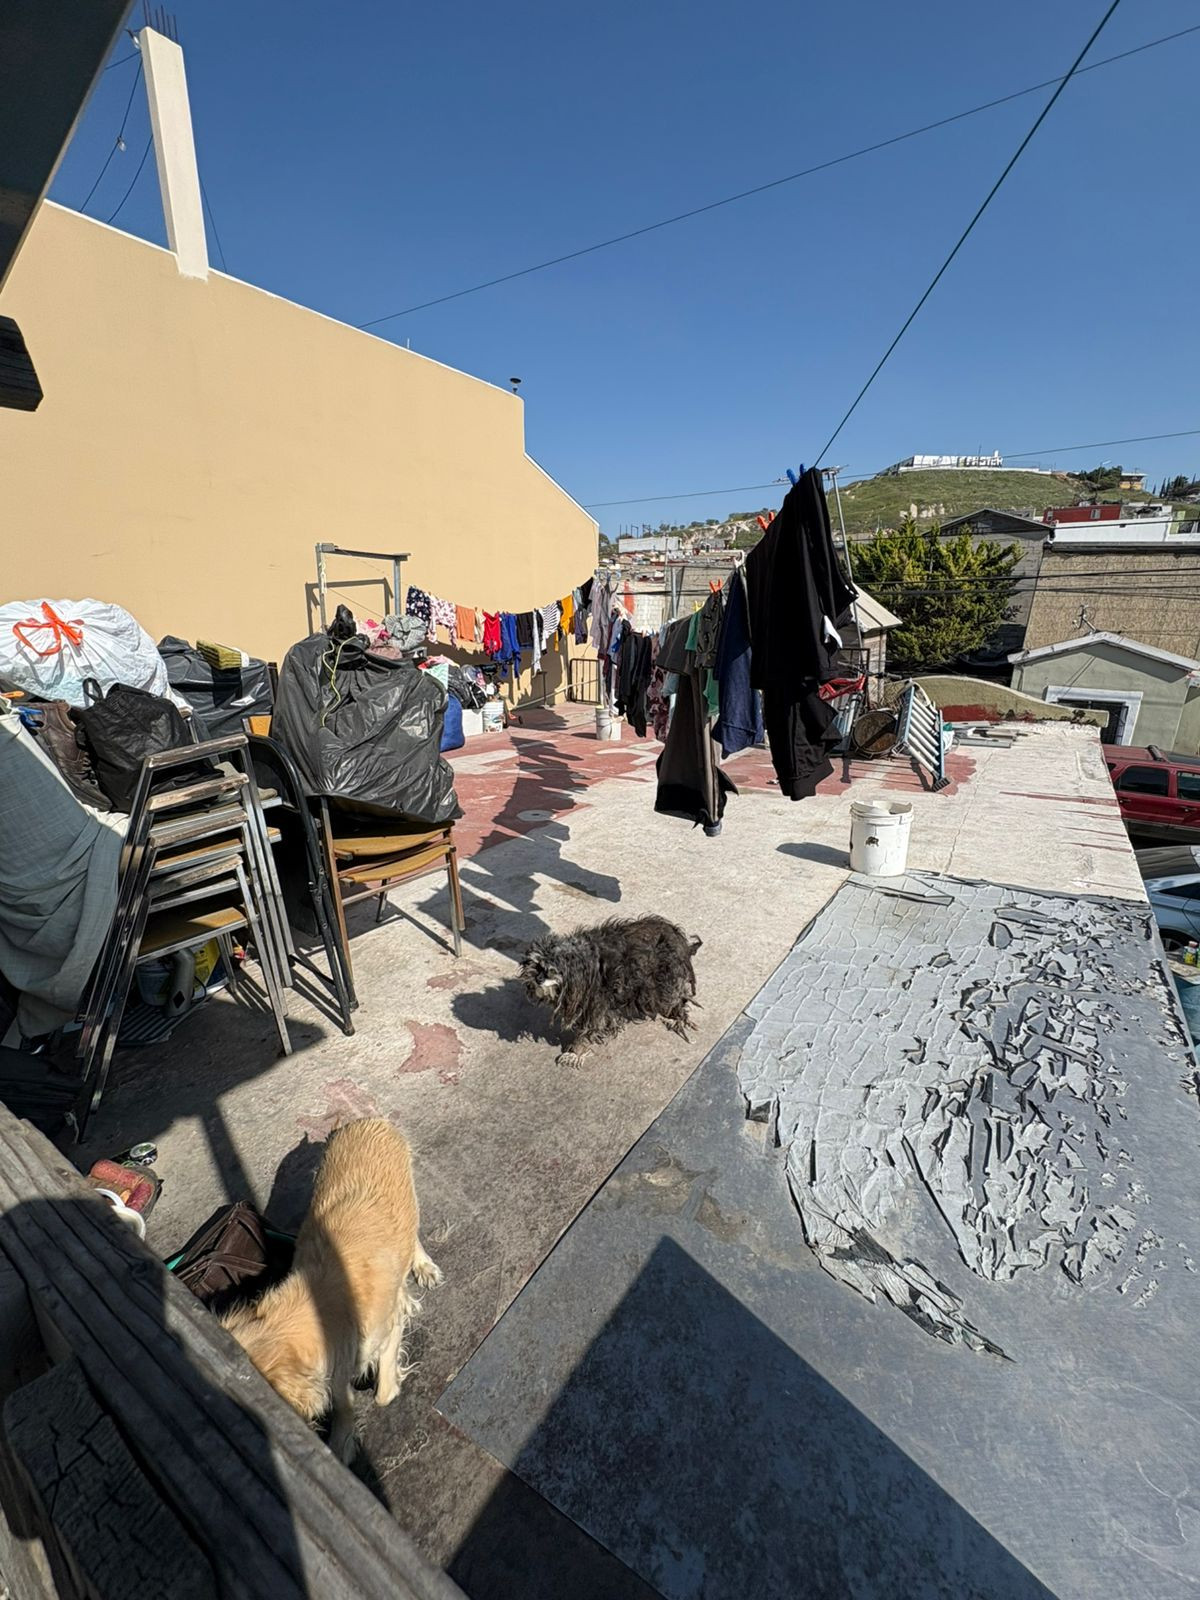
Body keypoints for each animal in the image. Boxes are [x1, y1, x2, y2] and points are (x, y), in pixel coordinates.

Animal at [220, 1118, 441, 1462]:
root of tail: (366, 1120)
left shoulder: (387, 1329)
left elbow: (382, 1394)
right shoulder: (335, 1361)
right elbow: (341, 1397)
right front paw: (341, 1440)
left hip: (409, 1199)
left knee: (412, 1235)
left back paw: (421, 1267)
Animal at [521, 914, 702, 1065]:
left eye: (551, 969)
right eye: (535, 966)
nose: (537, 979)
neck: (579, 965)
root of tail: (676, 934)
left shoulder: (596, 1004)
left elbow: (587, 1029)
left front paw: (575, 1052)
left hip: (663, 981)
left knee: (674, 998)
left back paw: (676, 1016)